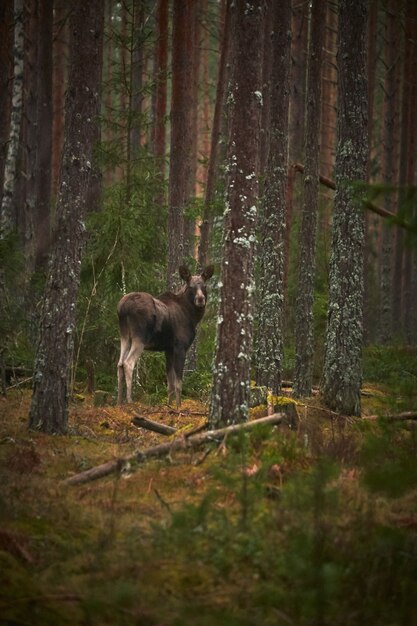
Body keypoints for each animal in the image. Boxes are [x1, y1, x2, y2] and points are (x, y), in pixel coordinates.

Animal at [118, 262, 213, 404]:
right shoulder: (180, 347)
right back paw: (129, 400)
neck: (192, 317)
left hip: (124, 336)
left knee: (119, 364)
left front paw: (169, 405)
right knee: (128, 363)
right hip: (139, 338)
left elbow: (170, 383)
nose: (200, 299)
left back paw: (118, 402)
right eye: (190, 287)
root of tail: (123, 307)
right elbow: (179, 383)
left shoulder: (168, 349)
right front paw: (179, 406)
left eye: (204, 286)